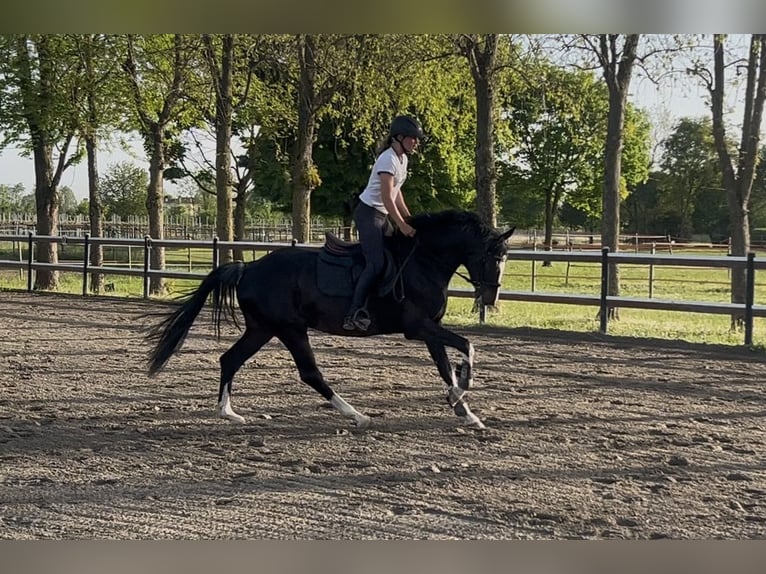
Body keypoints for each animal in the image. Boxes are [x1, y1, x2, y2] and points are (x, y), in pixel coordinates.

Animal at [145, 209, 514, 431]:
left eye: (505, 258)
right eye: (491, 257)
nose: (491, 297)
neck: (423, 261)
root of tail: (248, 267)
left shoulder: (429, 330)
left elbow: (445, 366)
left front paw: (465, 410)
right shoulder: (419, 328)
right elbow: (467, 347)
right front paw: (462, 391)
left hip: (263, 328)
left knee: (230, 359)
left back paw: (228, 412)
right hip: (290, 329)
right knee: (310, 373)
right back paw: (357, 415)